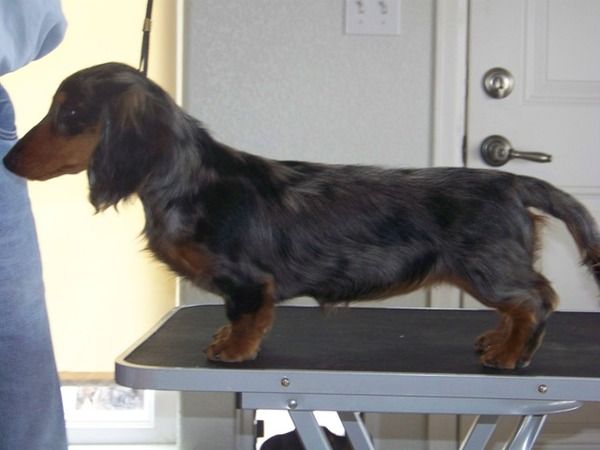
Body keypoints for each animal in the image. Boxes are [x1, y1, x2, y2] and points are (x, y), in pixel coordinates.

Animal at [4, 62, 600, 369]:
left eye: (68, 113)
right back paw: (496, 339)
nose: (8, 160)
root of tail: (512, 180)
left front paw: (233, 350)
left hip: (487, 267)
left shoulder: (248, 280)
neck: (188, 179)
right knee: (520, 303)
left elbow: (247, 315)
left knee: (537, 299)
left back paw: (511, 353)